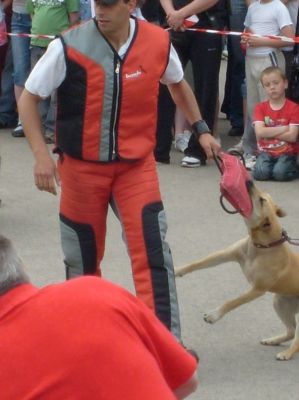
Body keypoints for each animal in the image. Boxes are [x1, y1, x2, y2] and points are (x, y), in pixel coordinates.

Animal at [176, 183, 299, 360]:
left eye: (261, 200)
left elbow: (233, 302)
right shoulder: (226, 254)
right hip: (281, 303)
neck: (264, 246)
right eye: (264, 195)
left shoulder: (257, 290)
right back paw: (273, 340)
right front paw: (176, 270)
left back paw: (287, 353)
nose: (249, 182)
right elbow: (198, 263)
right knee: (291, 331)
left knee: (297, 338)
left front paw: (214, 315)